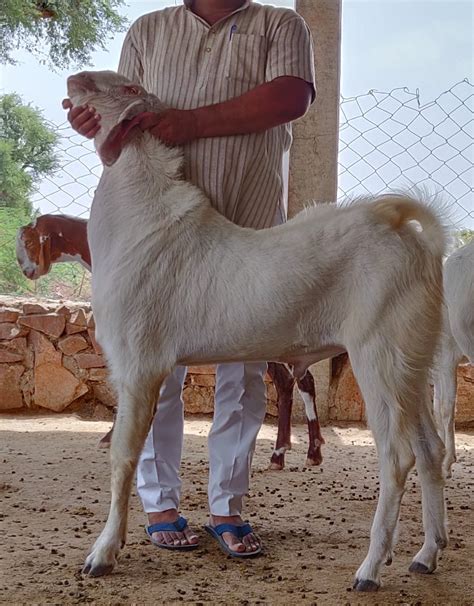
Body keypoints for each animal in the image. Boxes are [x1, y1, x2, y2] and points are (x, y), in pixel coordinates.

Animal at [66, 71, 448, 592]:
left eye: (125, 89)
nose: (75, 80)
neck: (139, 219)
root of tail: (415, 239)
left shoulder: (140, 363)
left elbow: (123, 455)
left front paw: (103, 553)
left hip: (380, 356)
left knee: (398, 457)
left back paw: (370, 569)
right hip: (413, 359)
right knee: (431, 450)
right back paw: (426, 554)